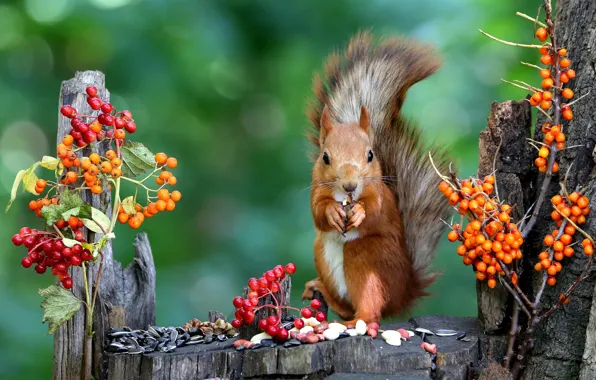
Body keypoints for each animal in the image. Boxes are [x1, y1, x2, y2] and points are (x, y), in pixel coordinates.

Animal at [302, 31, 452, 326]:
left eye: (370, 155)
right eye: (325, 157)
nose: (350, 185)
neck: (346, 197)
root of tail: (403, 294)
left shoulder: (380, 194)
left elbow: (375, 211)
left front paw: (360, 213)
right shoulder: (316, 188)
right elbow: (317, 212)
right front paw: (332, 212)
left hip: (368, 256)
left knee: (371, 311)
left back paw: (355, 322)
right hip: (320, 252)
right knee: (347, 304)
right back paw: (325, 294)